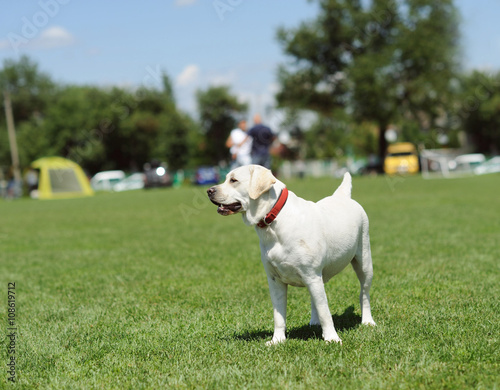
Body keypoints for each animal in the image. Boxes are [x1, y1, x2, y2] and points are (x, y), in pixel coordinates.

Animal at [205, 165, 374, 344]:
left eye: (234, 180)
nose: (209, 190)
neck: (274, 221)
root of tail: (342, 196)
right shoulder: (275, 280)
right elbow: (278, 315)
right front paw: (277, 340)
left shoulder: (311, 275)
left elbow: (325, 312)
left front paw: (332, 338)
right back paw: (314, 323)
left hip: (364, 261)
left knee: (364, 293)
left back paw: (368, 321)